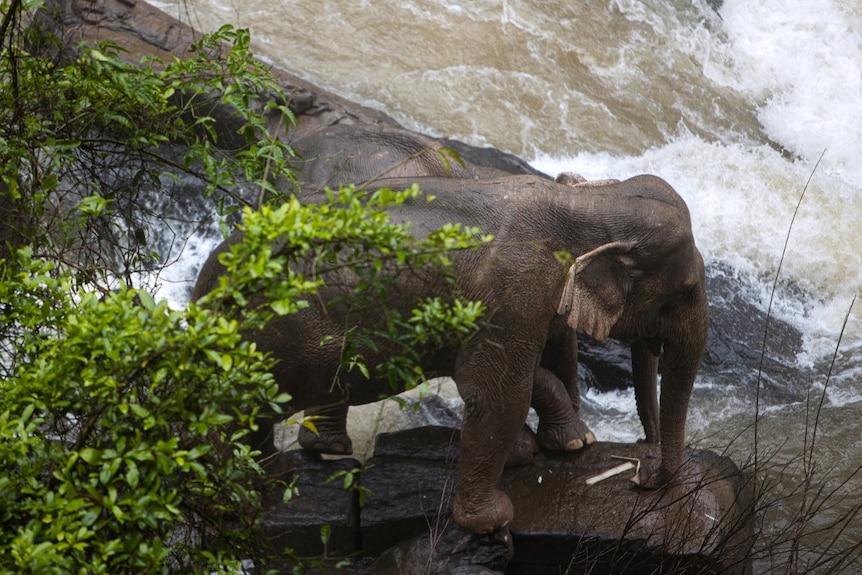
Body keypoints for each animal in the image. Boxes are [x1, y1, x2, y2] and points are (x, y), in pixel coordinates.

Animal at [194, 172, 708, 536]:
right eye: (684, 290)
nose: (639, 476)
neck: (590, 204)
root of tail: (205, 285)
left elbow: (523, 372)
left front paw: (555, 447)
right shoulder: (513, 292)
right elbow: (496, 392)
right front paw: (495, 518)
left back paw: (295, 464)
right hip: (281, 335)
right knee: (249, 402)